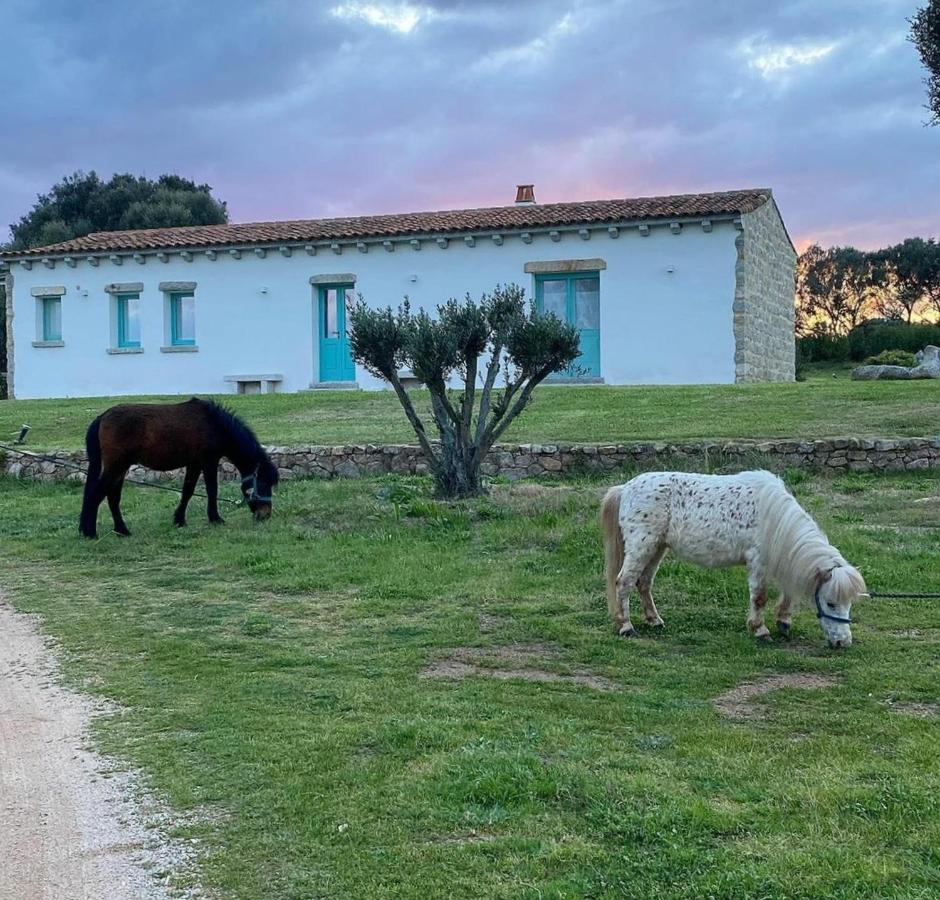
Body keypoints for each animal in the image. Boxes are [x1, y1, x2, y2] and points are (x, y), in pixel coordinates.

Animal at [78, 400, 278, 536]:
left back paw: (121, 530)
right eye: (263, 483)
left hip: (120, 468)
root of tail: (102, 417)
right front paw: (215, 518)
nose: (265, 515)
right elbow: (212, 489)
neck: (215, 424)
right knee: (97, 494)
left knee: (112, 497)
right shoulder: (208, 461)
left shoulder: (194, 464)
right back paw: (90, 532)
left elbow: (187, 491)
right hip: (116, 466)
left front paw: (179, 520)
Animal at [604, 472, 868, 648]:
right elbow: (759, 597)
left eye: (849, 604)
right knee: (624, 582)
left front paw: (783, 622)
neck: (773, 517)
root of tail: (625, 488)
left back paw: (654, 620)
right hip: (642, 546)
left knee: (644, 583)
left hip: (657, 548)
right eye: (831, 603)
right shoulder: (759, 563)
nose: (843, 642)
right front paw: (760, 630)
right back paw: (626, 626)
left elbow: (787, 593)